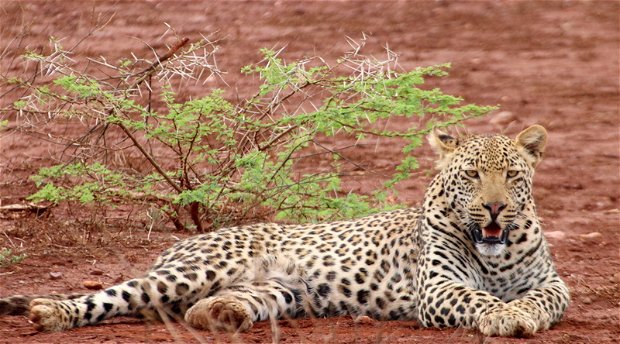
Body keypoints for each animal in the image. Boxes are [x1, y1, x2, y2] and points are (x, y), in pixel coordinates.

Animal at [0, 125, 572, 338]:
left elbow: (541, 299)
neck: (496, 252)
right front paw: (506, 317)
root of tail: (180, 243)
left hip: (278, 291)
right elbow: (480, 299)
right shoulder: (437, 288)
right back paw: (50, 312)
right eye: (472, 174)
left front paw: (522, 313)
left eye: (511, 175)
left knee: (196, 309)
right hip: (196, 269)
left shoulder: (553, 283)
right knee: (116, 294)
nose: (495, 207)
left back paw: (219, 315)